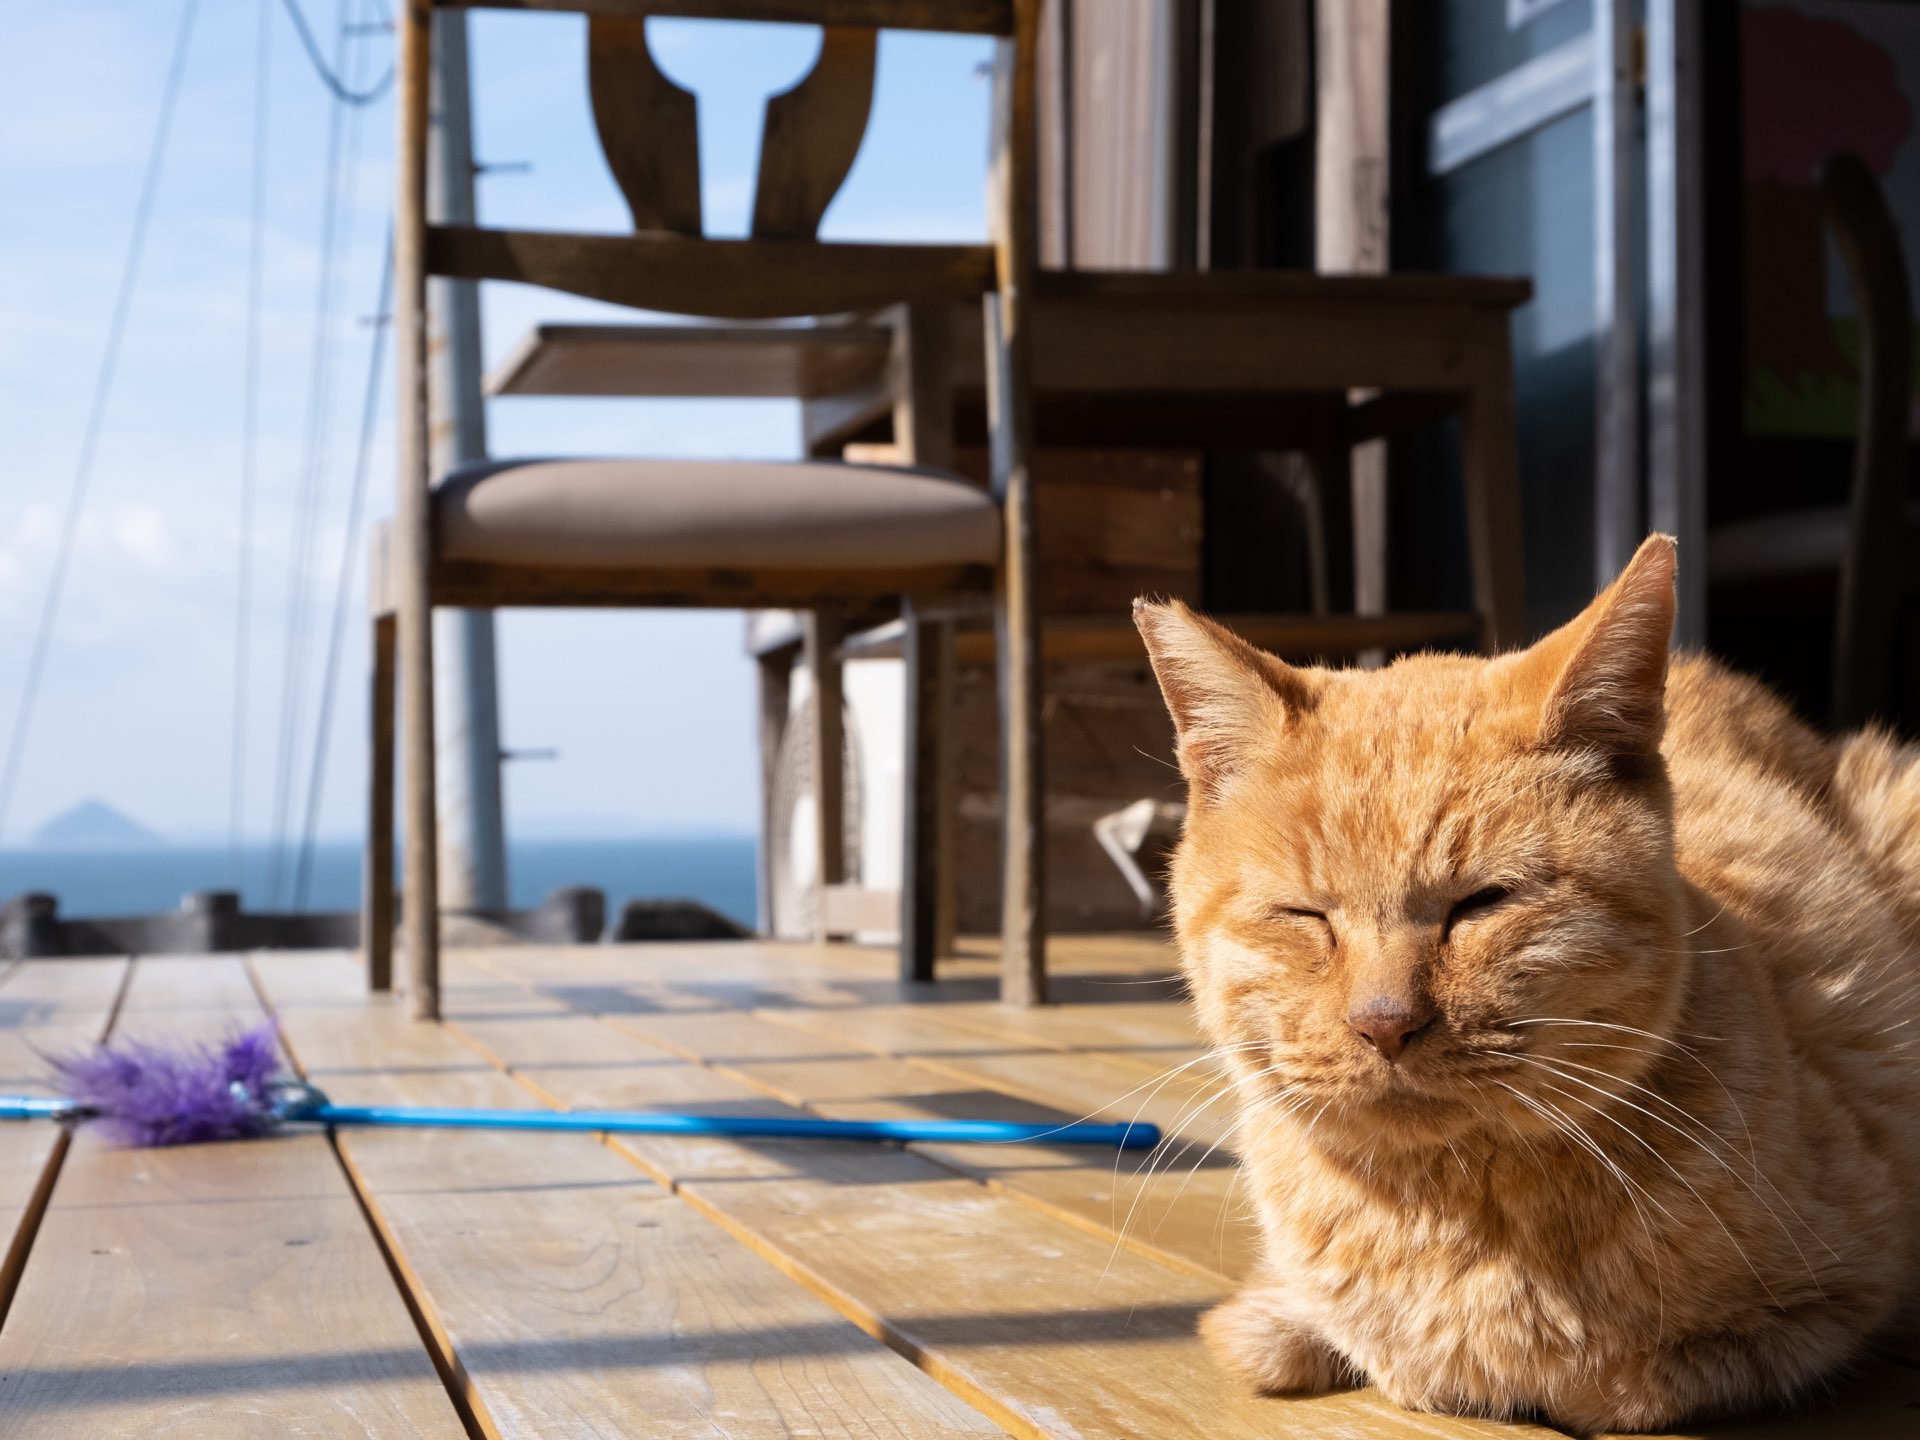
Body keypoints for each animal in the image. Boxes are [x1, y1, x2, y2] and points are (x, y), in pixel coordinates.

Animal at [1128, 537, 1920, 1436]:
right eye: (1306, 915)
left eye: (1482, 903)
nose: (1384, 1022)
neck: (1448, 1217)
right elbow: (1281, 1336)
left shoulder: (1828, 1307)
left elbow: (1625, 1384)